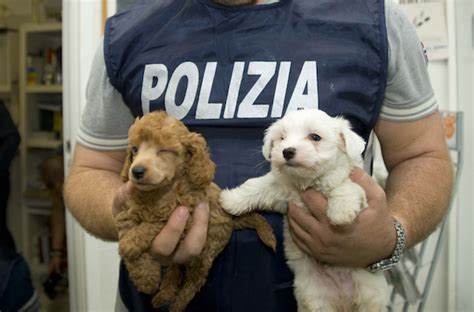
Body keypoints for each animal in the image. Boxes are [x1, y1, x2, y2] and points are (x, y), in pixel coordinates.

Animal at [116, 111, 276, 310]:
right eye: (135, 150)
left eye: (164, 150)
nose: (136, 171)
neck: (158, 193)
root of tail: (232, 220)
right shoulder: (126, 213)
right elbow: (128, 232)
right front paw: (146, 277)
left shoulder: (184, 215)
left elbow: (151, 226)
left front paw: (130, 245)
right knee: (176, 268)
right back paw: (164, 294)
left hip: (204, 253)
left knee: (194, 281)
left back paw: (177, 305)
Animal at [220, 108, 386, 310]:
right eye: (282, 138)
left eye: (315, 137)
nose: (287, 151)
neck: (307, 183)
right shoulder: (281, 190)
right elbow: (255, 186)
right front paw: (232, 200)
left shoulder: (355, 183)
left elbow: (344, 186)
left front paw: (340, 212)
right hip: (316, 298)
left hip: (369, 295)